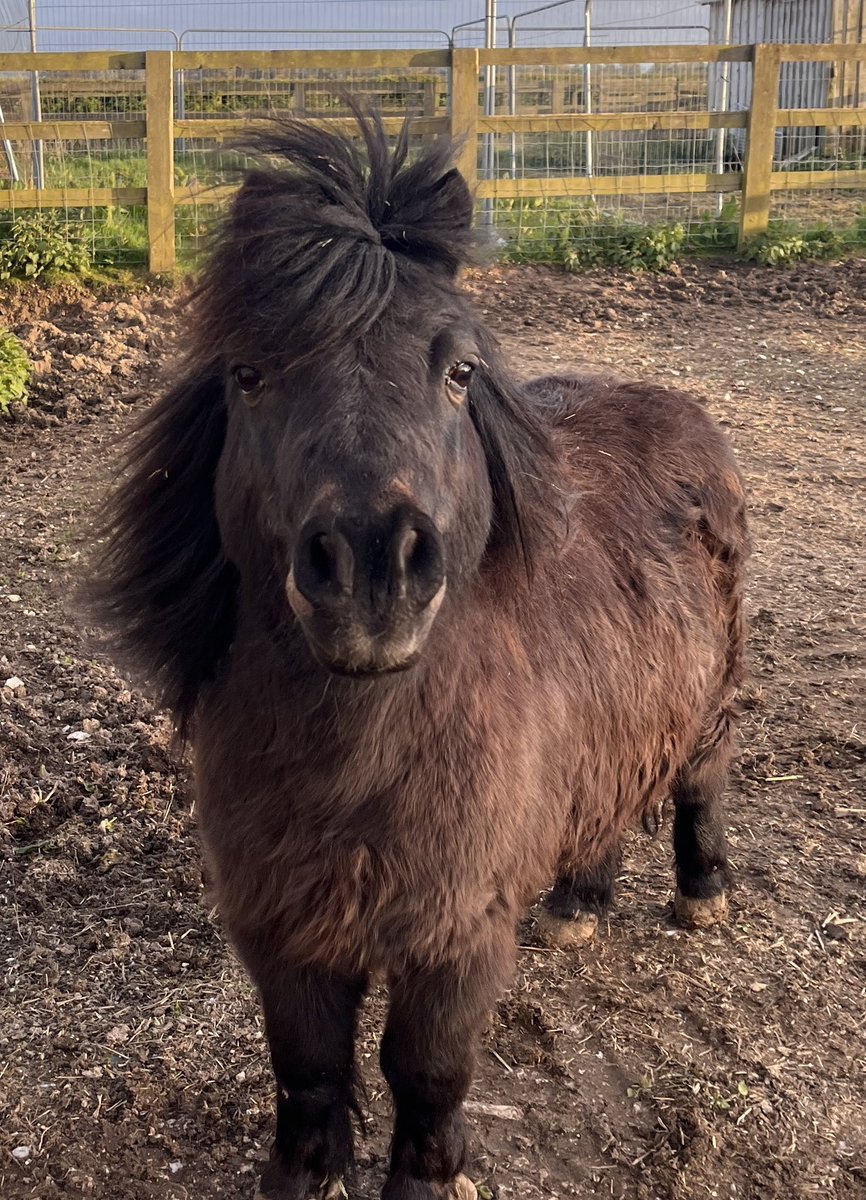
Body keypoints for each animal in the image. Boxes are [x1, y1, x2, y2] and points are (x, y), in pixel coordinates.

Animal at [87, 113, 749, 1200]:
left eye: (459, 372)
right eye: (248, 375)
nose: (371, 566)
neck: (361, 762)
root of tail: (678, 410)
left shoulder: (454, 935)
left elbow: (424, 1066)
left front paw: (429, 1177)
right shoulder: (282, 927)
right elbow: (307, 1067)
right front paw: (302, 1177)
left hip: (710, 710)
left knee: (699, 788)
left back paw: (701, 896)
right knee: (604, 806)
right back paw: (577, 905)